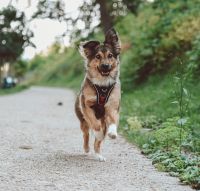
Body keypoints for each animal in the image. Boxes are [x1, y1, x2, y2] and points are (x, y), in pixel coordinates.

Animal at [75, 28, 121, 161]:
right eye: (97, 56)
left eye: (110, 55)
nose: (106, 66)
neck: (103, 85)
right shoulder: (87, 105)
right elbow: (94, 124)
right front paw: (98, 132)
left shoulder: (112, 105)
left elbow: (113, 120)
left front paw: (112, 132)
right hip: (83, 121)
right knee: (86, 135)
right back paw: (87, 149)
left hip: (103, 120)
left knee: (97, 142)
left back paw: (99, 155)